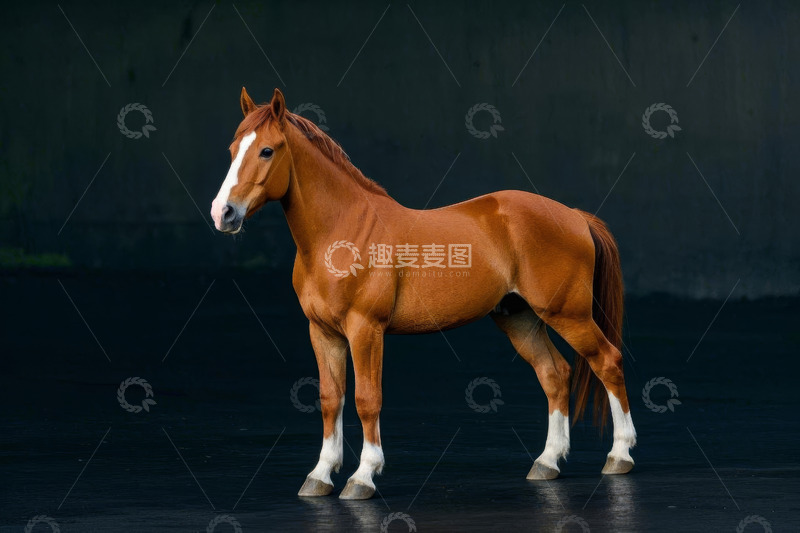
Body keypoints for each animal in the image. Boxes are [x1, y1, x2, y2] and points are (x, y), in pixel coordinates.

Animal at [210, 87, 637, 500]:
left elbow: (367, 399)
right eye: (231, 150)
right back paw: (548, 462)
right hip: (520, 317)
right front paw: (320, 474)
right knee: (555, 374)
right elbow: (331, 398)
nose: (222, 213)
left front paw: (363, 477)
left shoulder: (366, 330)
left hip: (569, 314)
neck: (342, 233)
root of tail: (575, 215)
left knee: (607, 362)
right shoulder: (323, 332)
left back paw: (619, 455)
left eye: (267, 150)